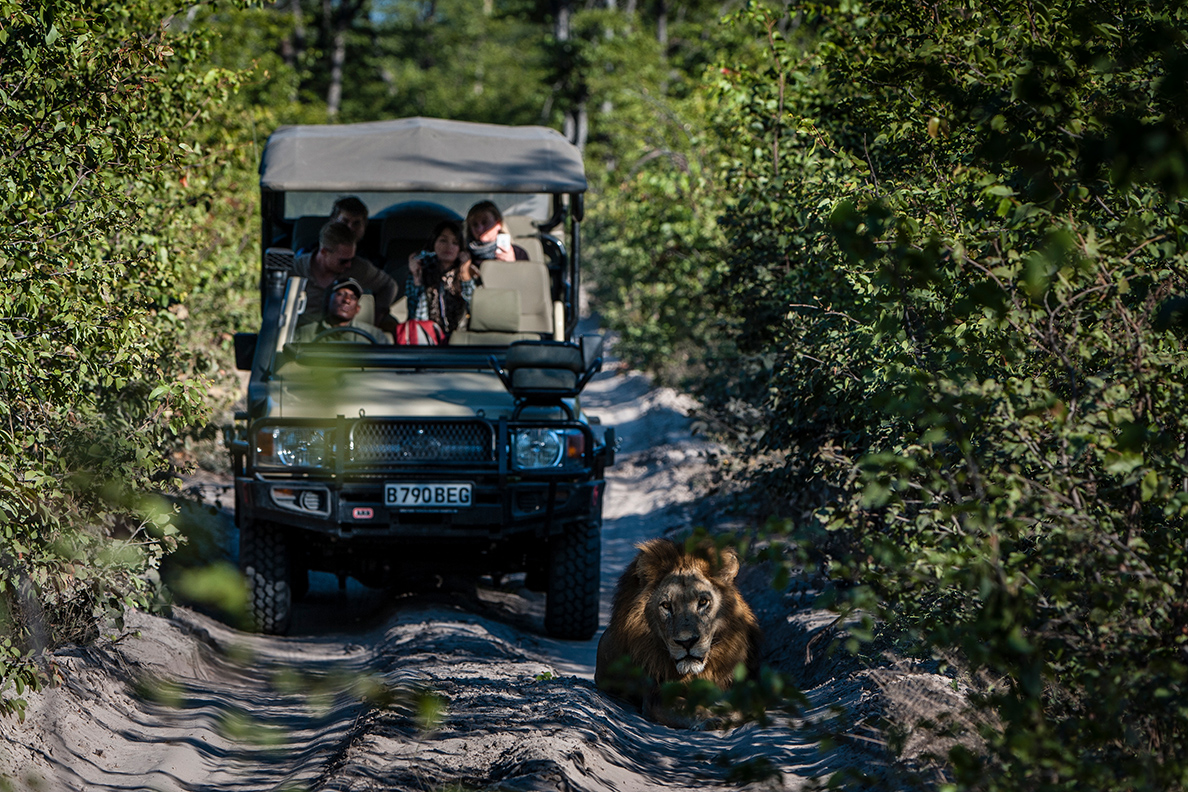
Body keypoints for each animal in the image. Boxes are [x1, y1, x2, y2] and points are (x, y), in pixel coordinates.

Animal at [594, 538, 762, 728]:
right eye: (666, 606)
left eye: (703, 602)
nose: (686, 642)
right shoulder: (656, 697)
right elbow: (687, 706)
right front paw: (712, 718)